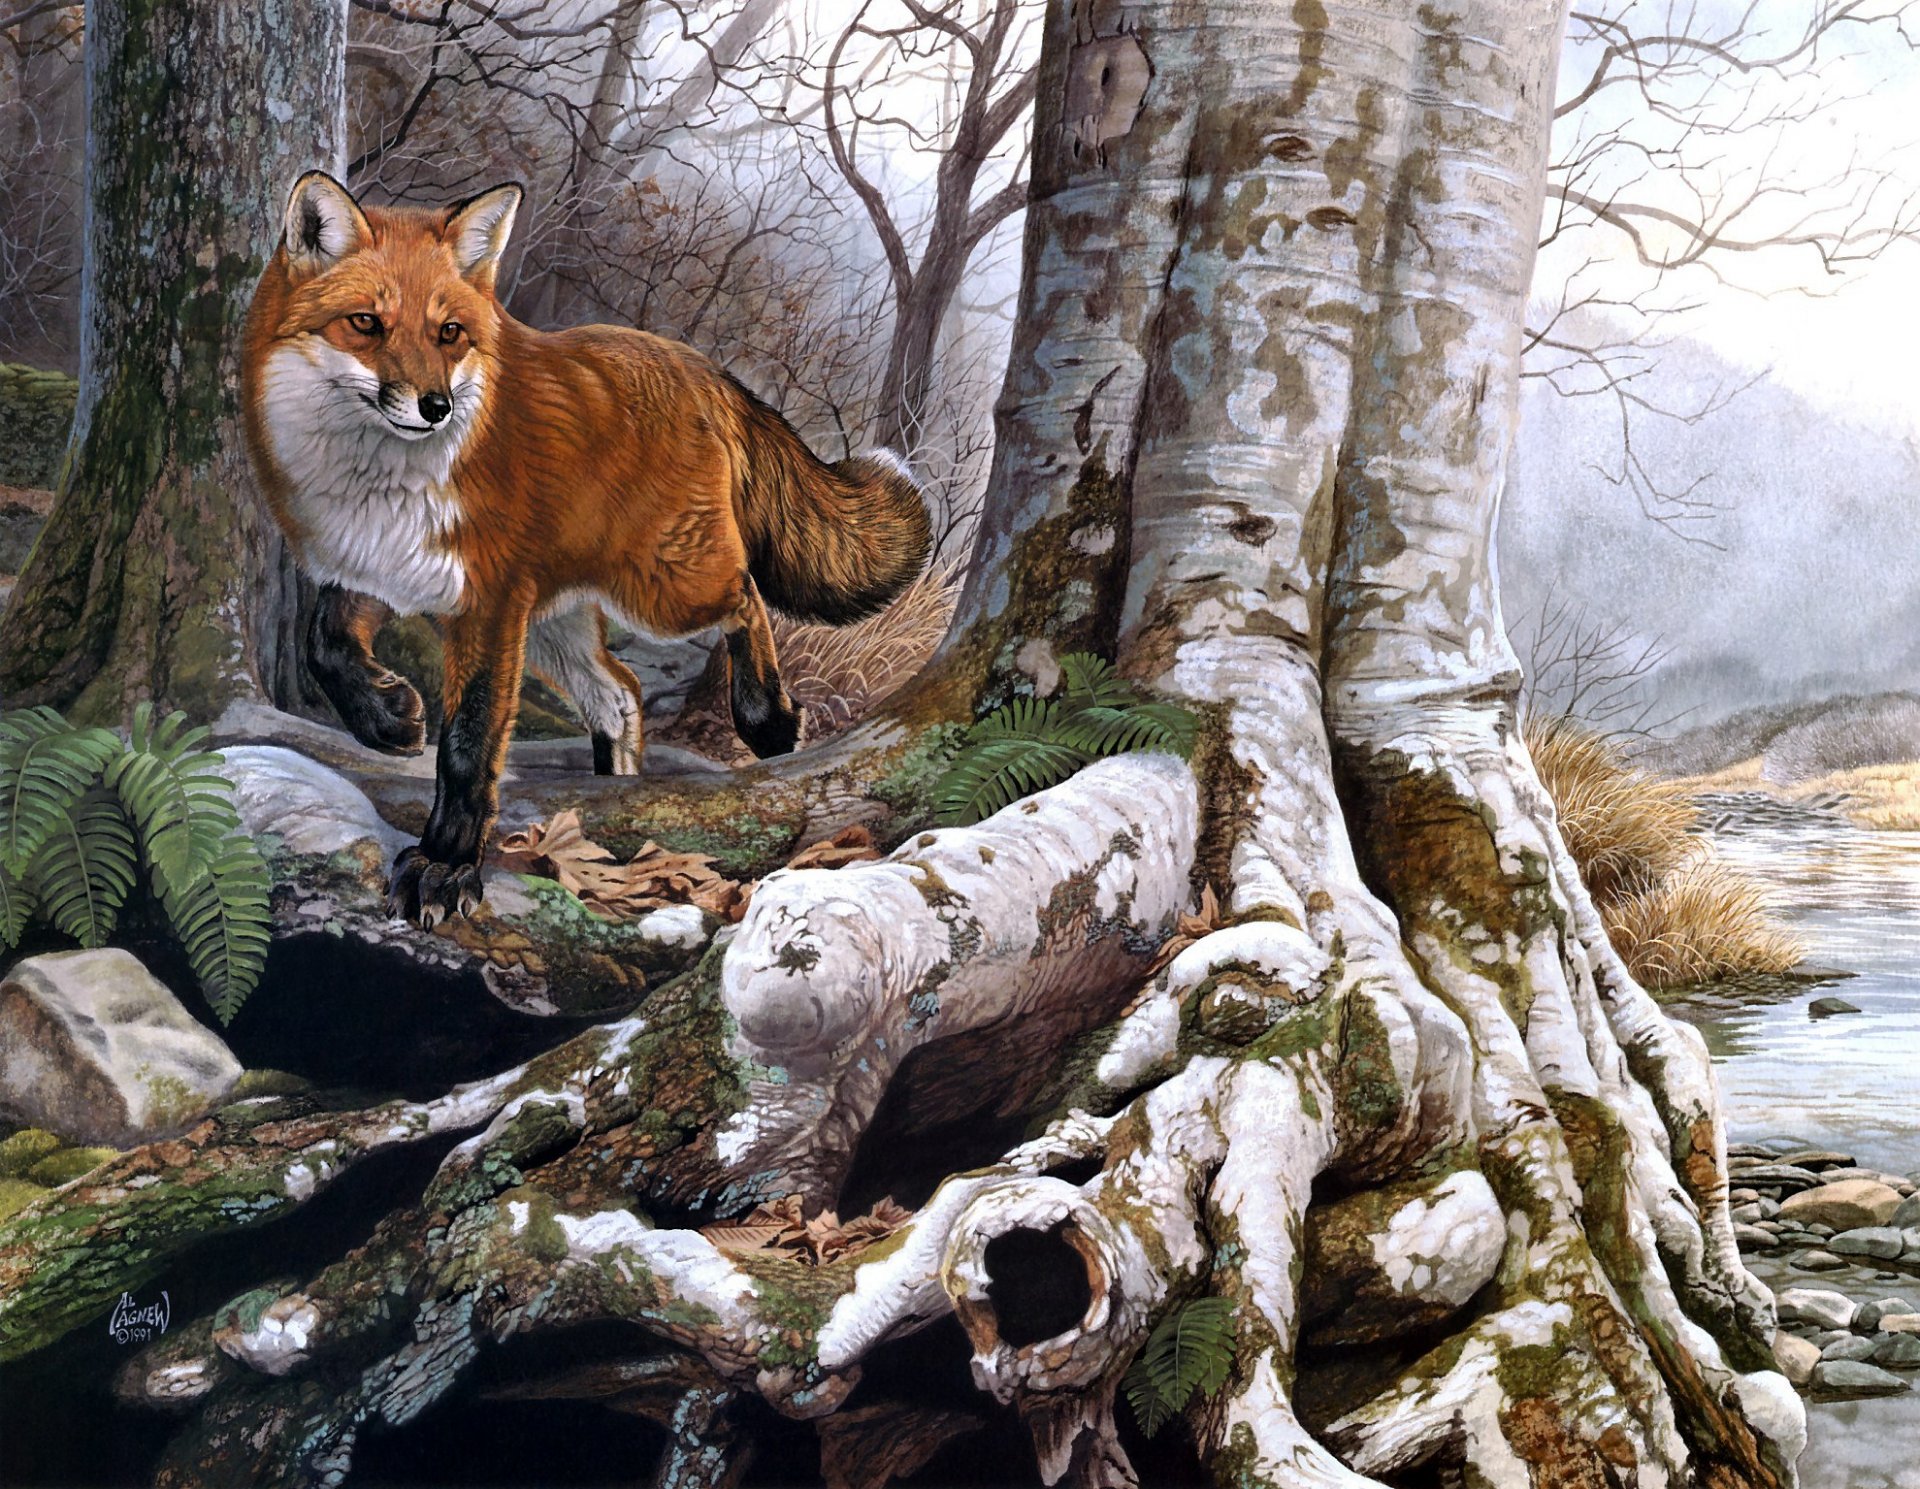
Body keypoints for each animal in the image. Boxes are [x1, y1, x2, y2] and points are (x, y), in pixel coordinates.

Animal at [241, 172, 931, 927]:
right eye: (366, 323)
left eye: (449, 333)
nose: (435, 407)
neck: (379, 482)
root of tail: (697, 365)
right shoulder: (380, 568)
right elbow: (325, 645)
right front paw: (389, 719)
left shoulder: (486, 604)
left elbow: (468, 744)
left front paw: (446, 865)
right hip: (553, 622)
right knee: (620, 694)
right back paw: (615, 791)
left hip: (663, 589)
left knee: (746, 597)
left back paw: (767, 718)